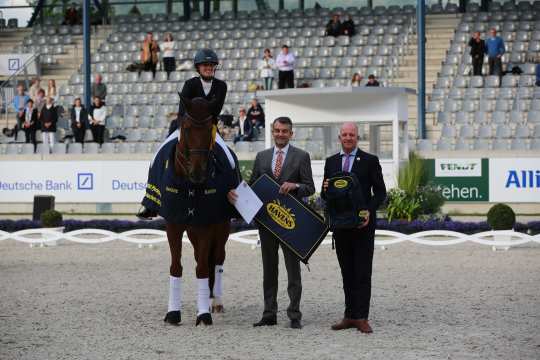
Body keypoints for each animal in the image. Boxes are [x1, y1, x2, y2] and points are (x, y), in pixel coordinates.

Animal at [158, 95, 238, 326]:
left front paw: (203, 315)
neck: (189, 186)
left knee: (218, 259)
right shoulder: (173, 225)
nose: (198, 172)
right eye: (186, 128)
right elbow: (176, 267)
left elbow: (202, 268)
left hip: (221, 227)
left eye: (210, 129)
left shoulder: (205, 226)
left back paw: (216, 302)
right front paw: (173, 313)